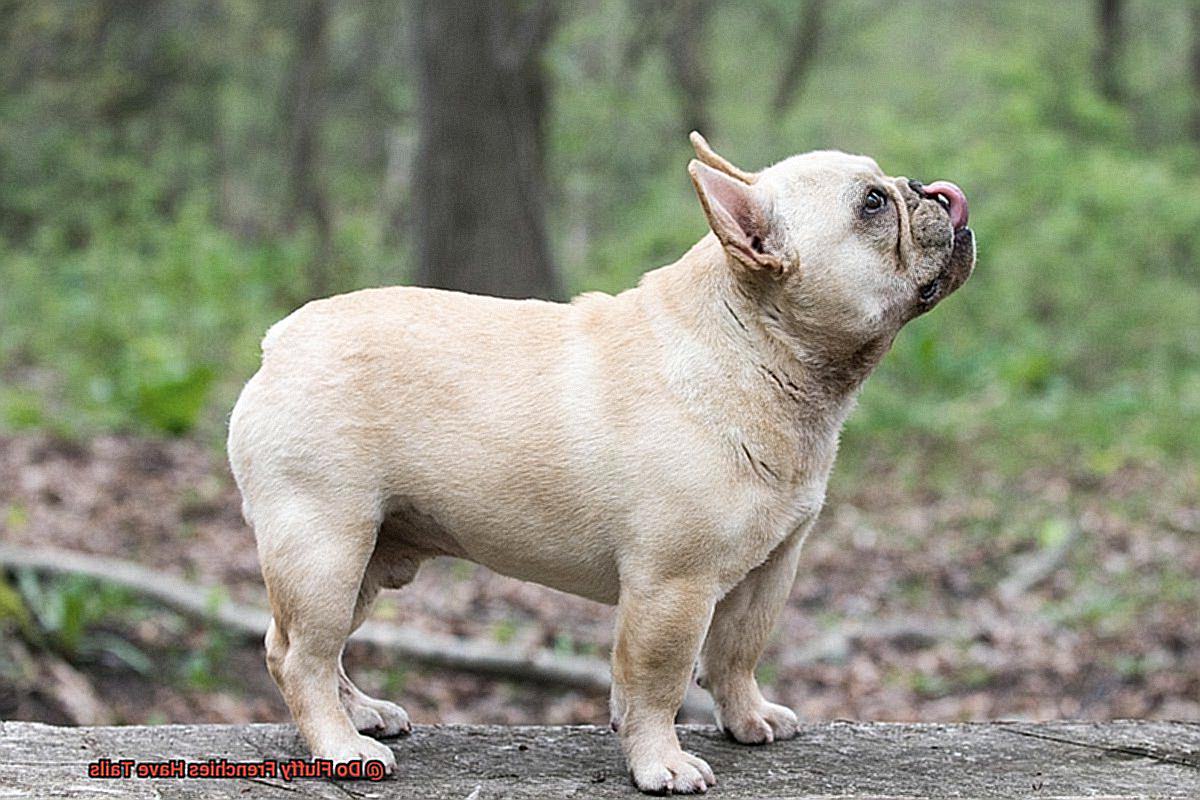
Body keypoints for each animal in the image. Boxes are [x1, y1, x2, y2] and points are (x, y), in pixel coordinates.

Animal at [226, 134, 974, 791]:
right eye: (872, 205)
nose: (931, 189)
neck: (755, 347)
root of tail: (278, 343)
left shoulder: (769, 570)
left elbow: (736, 654)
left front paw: (748, 718)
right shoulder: (673, 587)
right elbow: (657, 682)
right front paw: (660, 764)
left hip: (371, 555)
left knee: (305, 647)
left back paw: (361, 714)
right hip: (326, 545)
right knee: (301, 654)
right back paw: (341, 747)